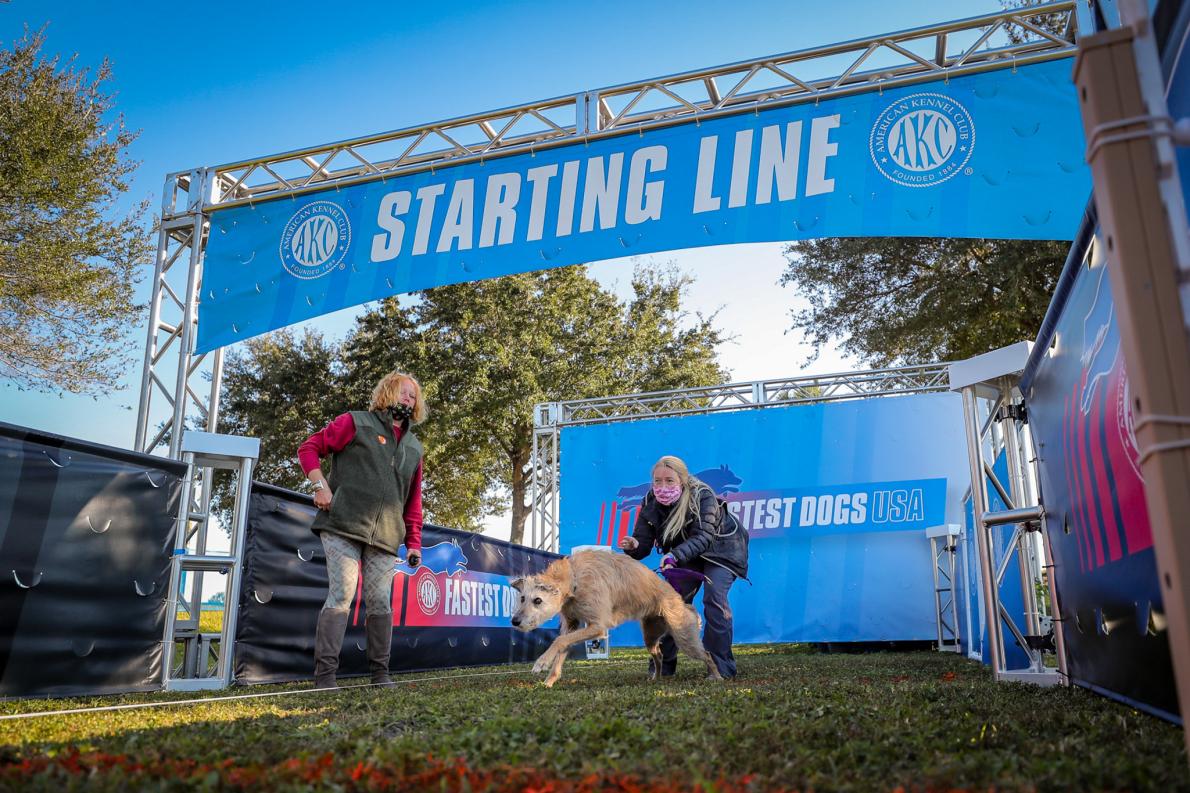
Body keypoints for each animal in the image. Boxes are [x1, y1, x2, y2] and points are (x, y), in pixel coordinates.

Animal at [509, 550, 718, 685]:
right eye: (522, 598)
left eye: (537, 600)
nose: (514, 621)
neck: (575, 579)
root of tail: (680, 600)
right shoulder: (572, 624)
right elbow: (562, 645)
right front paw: (549, 681)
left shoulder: (597, 627)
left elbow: (559, 641)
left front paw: (541, 662)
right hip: (650, 636)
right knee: (659, 655)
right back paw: (656, 678)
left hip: (684, 637)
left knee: (707, 654)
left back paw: (716, 677)